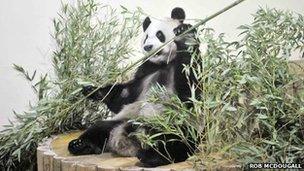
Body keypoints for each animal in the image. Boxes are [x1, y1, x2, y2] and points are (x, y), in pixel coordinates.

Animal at [67, 7, 200, 167]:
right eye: (146, 36)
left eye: (159, 34)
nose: (147, 47)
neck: (163, 63)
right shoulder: (145, 72)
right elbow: (124, 96)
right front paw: (93, 90)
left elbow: (190, 89)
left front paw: (184, 34)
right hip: (124, 119)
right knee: (100, 127)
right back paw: (81, 145)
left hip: (175, 126)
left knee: (177, 141)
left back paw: (152, 157)